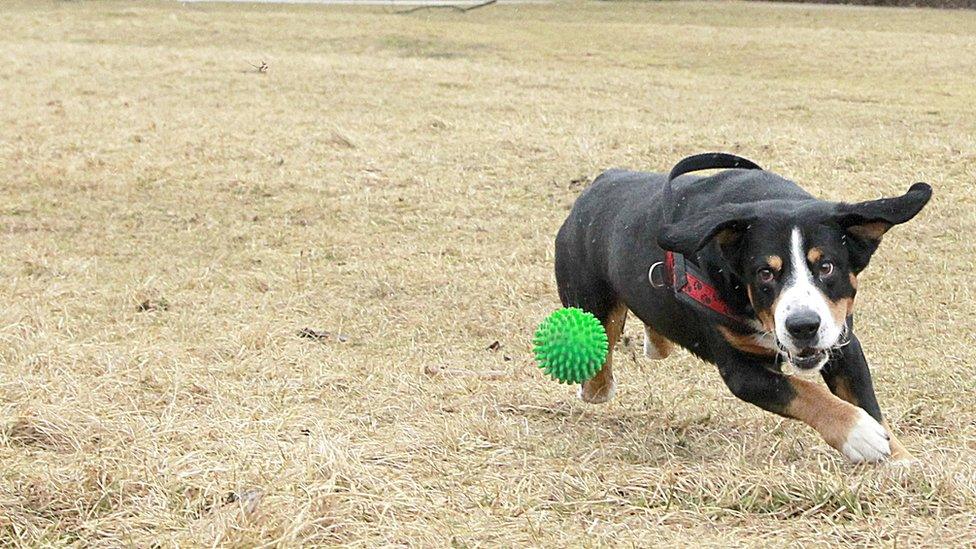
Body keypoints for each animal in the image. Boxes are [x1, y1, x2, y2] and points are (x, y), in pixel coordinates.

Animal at [556, 153, 932, 462]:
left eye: (826, 267)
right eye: (765, 273)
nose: (803, 326)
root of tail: (601, 181)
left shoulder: (842, 341)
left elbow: (865, 399)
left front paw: (900, 460)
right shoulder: (742, 371)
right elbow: (806, 392)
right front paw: (860, 433)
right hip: (590, 303)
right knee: (598, 369)